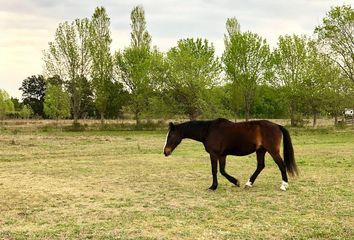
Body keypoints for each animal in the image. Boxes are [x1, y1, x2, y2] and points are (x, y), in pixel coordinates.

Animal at [164, 118, 298, 191]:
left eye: (170, 136)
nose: (165, 152)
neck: (208, 130)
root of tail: (277, 125)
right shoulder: (222, 155)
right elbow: (222, 171)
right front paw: (236, 182)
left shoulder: (214, 154)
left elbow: (214, 170)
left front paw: (213, 187)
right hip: (261, 150)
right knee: (260, 166)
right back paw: (248, 184)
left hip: (273, 151)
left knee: (281, 165)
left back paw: (284, 185)